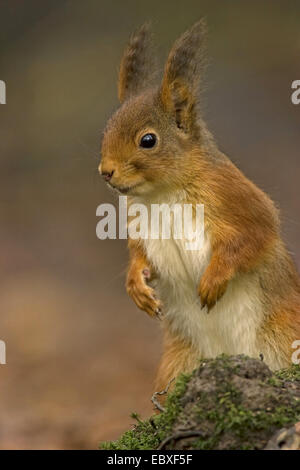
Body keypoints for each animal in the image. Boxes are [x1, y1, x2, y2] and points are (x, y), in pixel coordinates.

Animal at [99, 21, 300, 390]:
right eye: (107, 128)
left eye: (148, 140)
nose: (106, 171)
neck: (162, 194)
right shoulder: (138, 224)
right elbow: (139, 256)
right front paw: (137, 287)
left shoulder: (237, 199)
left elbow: (253, 238)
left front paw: (212, 281)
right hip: (179, 363)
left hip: (286, 334)